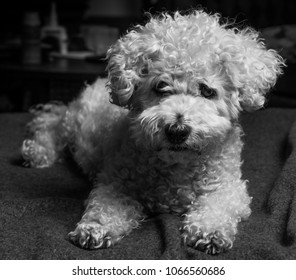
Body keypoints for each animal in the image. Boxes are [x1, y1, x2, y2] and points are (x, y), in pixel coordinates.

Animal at [21, 10, 284, 254]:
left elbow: (218, 205)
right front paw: (95, 228)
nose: (177, 130)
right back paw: (36, 152)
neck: (179, 165)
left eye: (207, 91)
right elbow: (106, 205)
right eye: (161, 86)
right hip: (74, 122)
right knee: (52, 123)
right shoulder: (117, 182)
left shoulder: (229, 187)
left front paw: (209, 230)